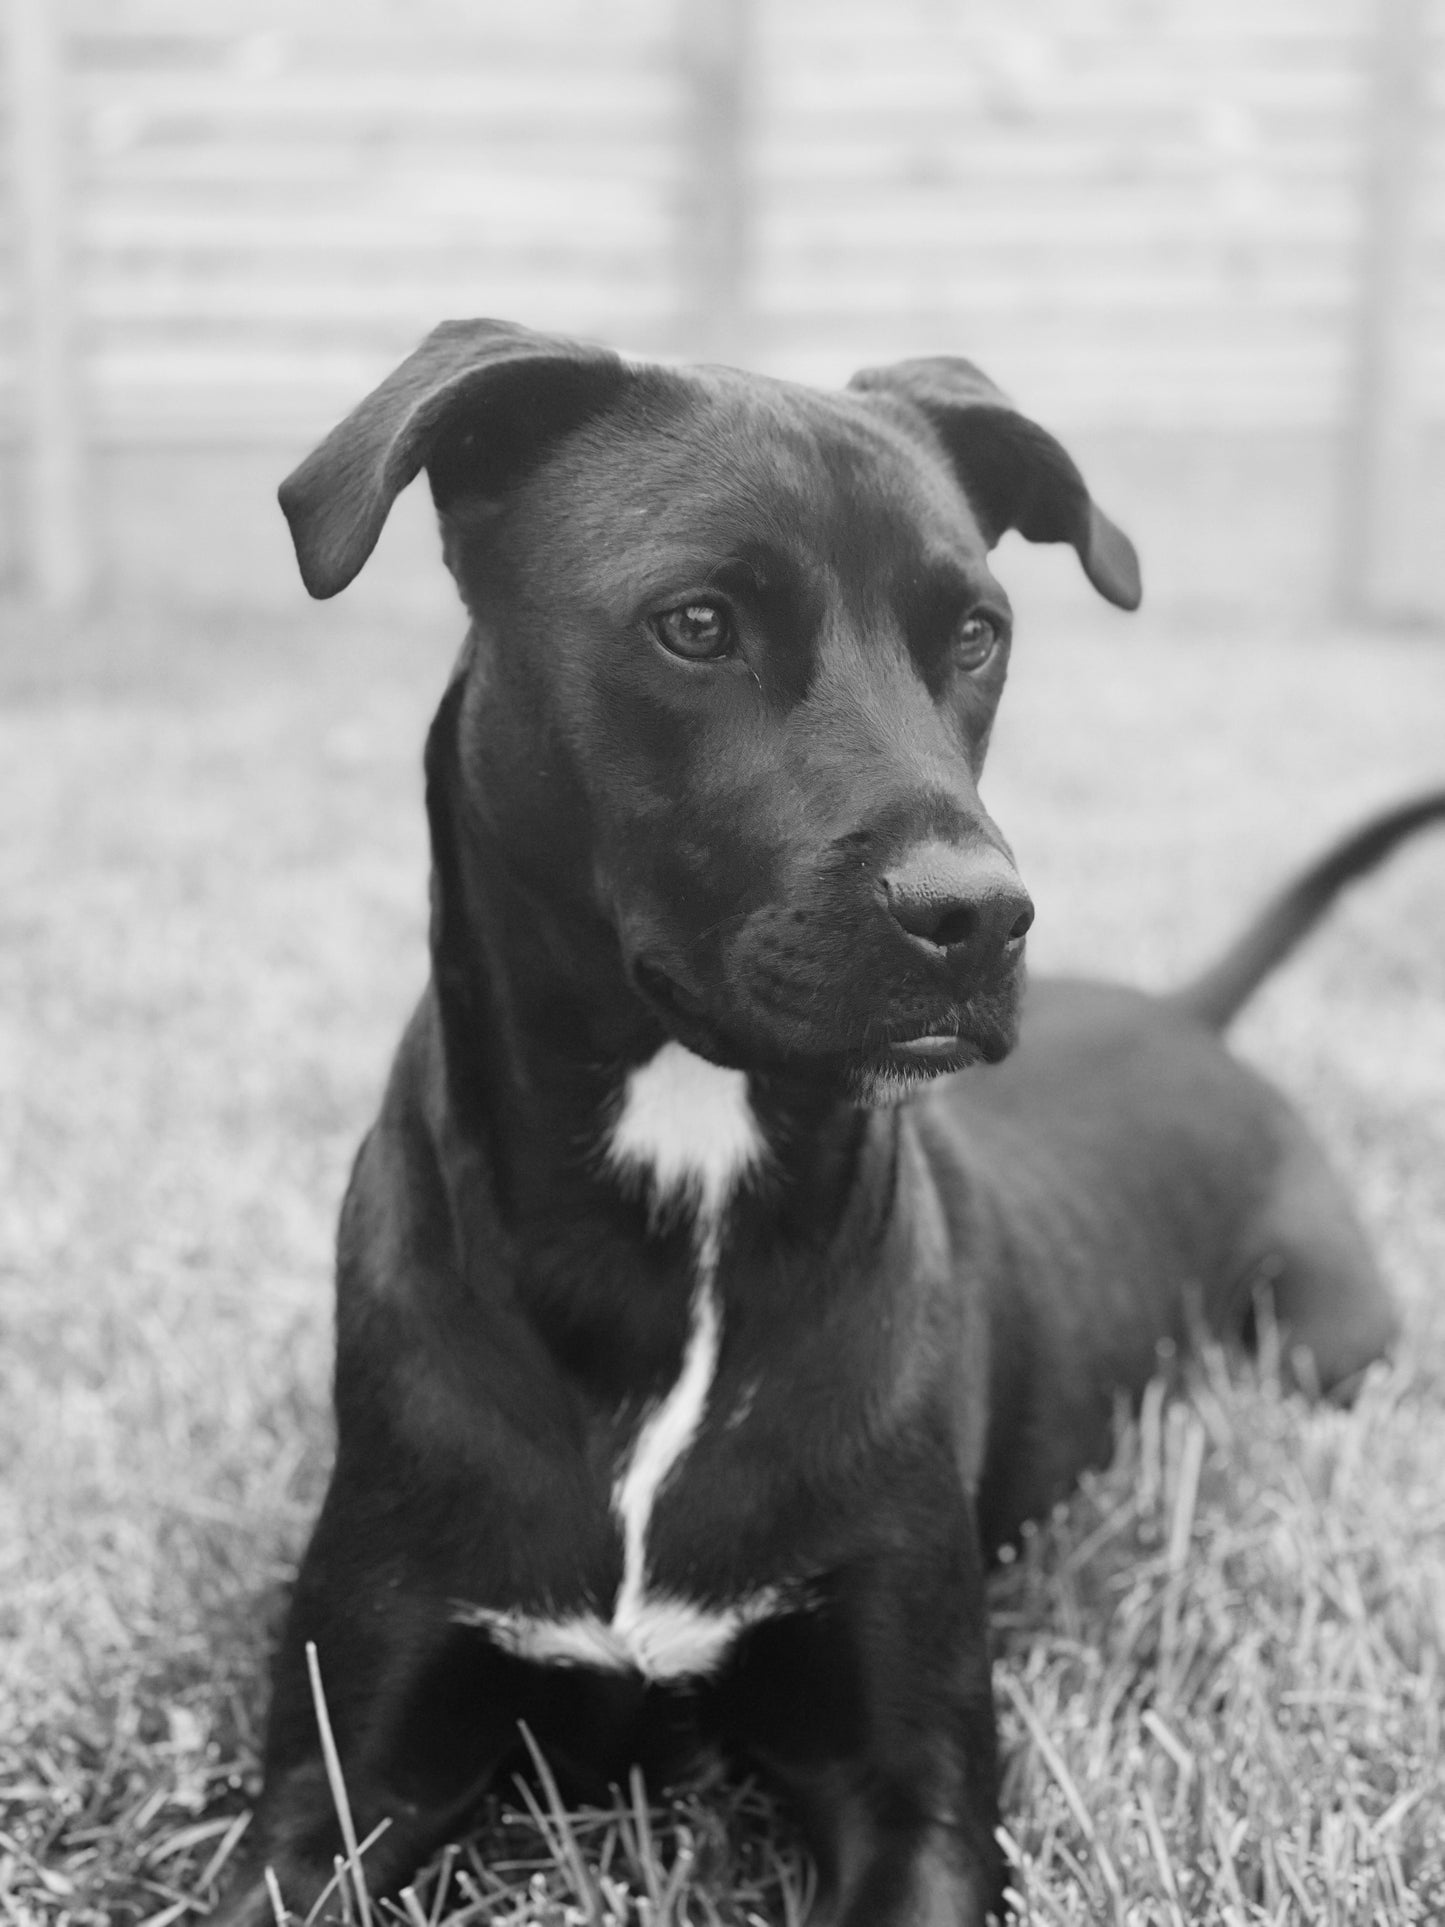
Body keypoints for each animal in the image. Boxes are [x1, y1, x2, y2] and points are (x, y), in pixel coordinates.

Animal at [214, 319, 1444, 1927]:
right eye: (694, 623)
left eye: (976, 632)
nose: (978, 916)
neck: (680, 1199)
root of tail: (1184, 1013)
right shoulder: (342, 1781)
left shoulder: (910, 1787)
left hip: (1321, 1346)